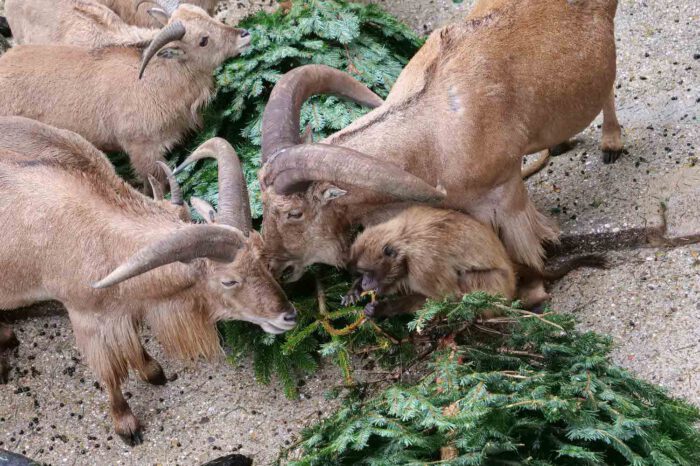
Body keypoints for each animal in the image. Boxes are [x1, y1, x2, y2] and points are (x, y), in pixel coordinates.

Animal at [0, 117, 296, 445]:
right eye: (229, 281)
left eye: (262, 253)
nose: (288, 315)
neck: (99, 237)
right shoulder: (83, 316)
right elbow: (109, 372)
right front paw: (127, 426)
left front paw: (152, 371)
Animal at [347, 205, 606, 318]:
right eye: (362, 273)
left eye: (369, 272)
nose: (366, 282)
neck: (406, 241)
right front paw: (355, 290)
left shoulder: (423, 266)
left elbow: (447, 298)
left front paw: (385, 309)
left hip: (497, 286)